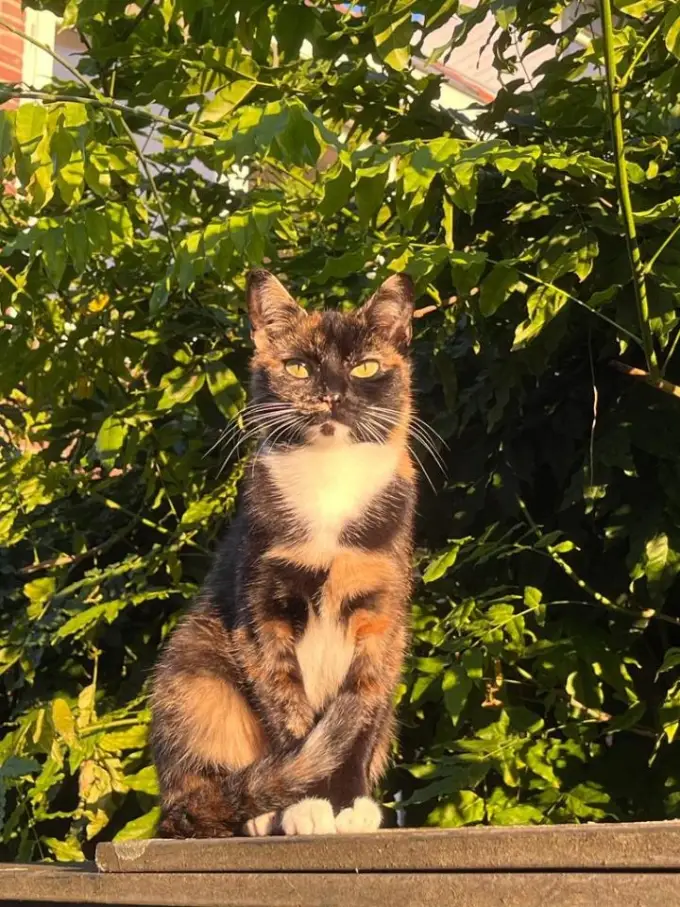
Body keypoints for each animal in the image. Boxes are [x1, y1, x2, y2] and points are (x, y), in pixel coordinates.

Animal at [151, 270, 418, 836]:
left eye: (365, 366)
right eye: (299, 366)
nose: (332, 395)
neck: (329, 482)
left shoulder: (382, 617)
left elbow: (359, 712)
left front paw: (350, 806)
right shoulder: (262, 616)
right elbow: (289, 714)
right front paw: (308, 806)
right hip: (194, 674)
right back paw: (254, 812)